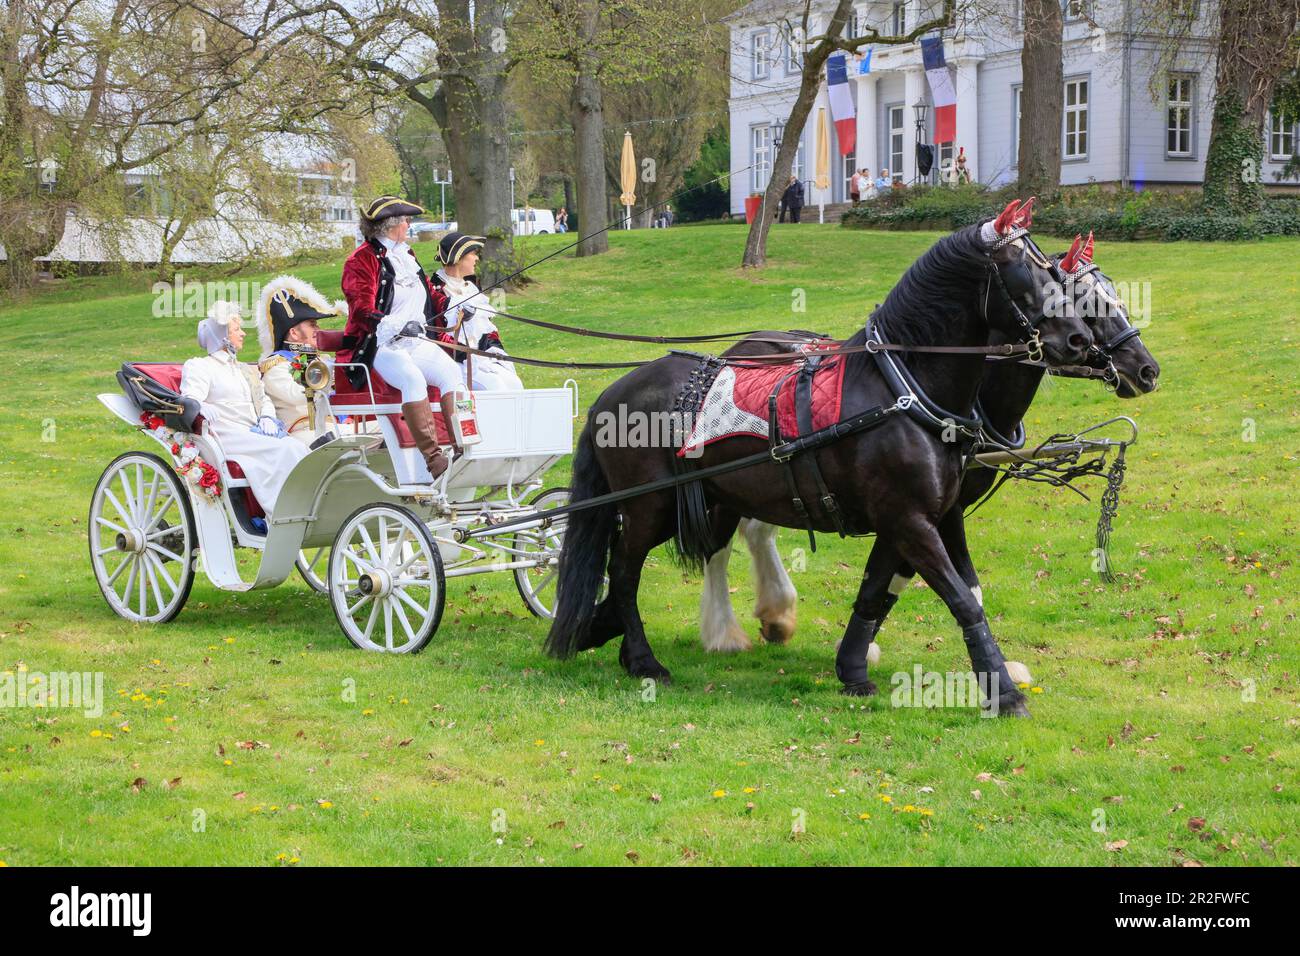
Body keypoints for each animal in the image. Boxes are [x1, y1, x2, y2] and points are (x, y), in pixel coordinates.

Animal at [544, 200, 1096, 717]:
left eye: (1057, 275)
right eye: (1025, 274)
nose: (1079, 340)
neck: (901, 389)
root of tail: (612, 392)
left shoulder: (927, 516)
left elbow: (880, 592)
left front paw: (852, 667)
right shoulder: (908, 519)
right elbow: (962, 600)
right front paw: (1003, 692)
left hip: (710, 498)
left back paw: (609, 630)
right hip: (650, 506)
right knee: (624, 569)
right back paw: (642, 657)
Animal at [692, 232, 1161, 694]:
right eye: (1087, 301)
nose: (1147, 370)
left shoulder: (935, 507)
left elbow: (903, 580)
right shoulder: (922, 509)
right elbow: (935, 580)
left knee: (756, 531)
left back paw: (775, 614)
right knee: (717, 546)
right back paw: (724, 631)